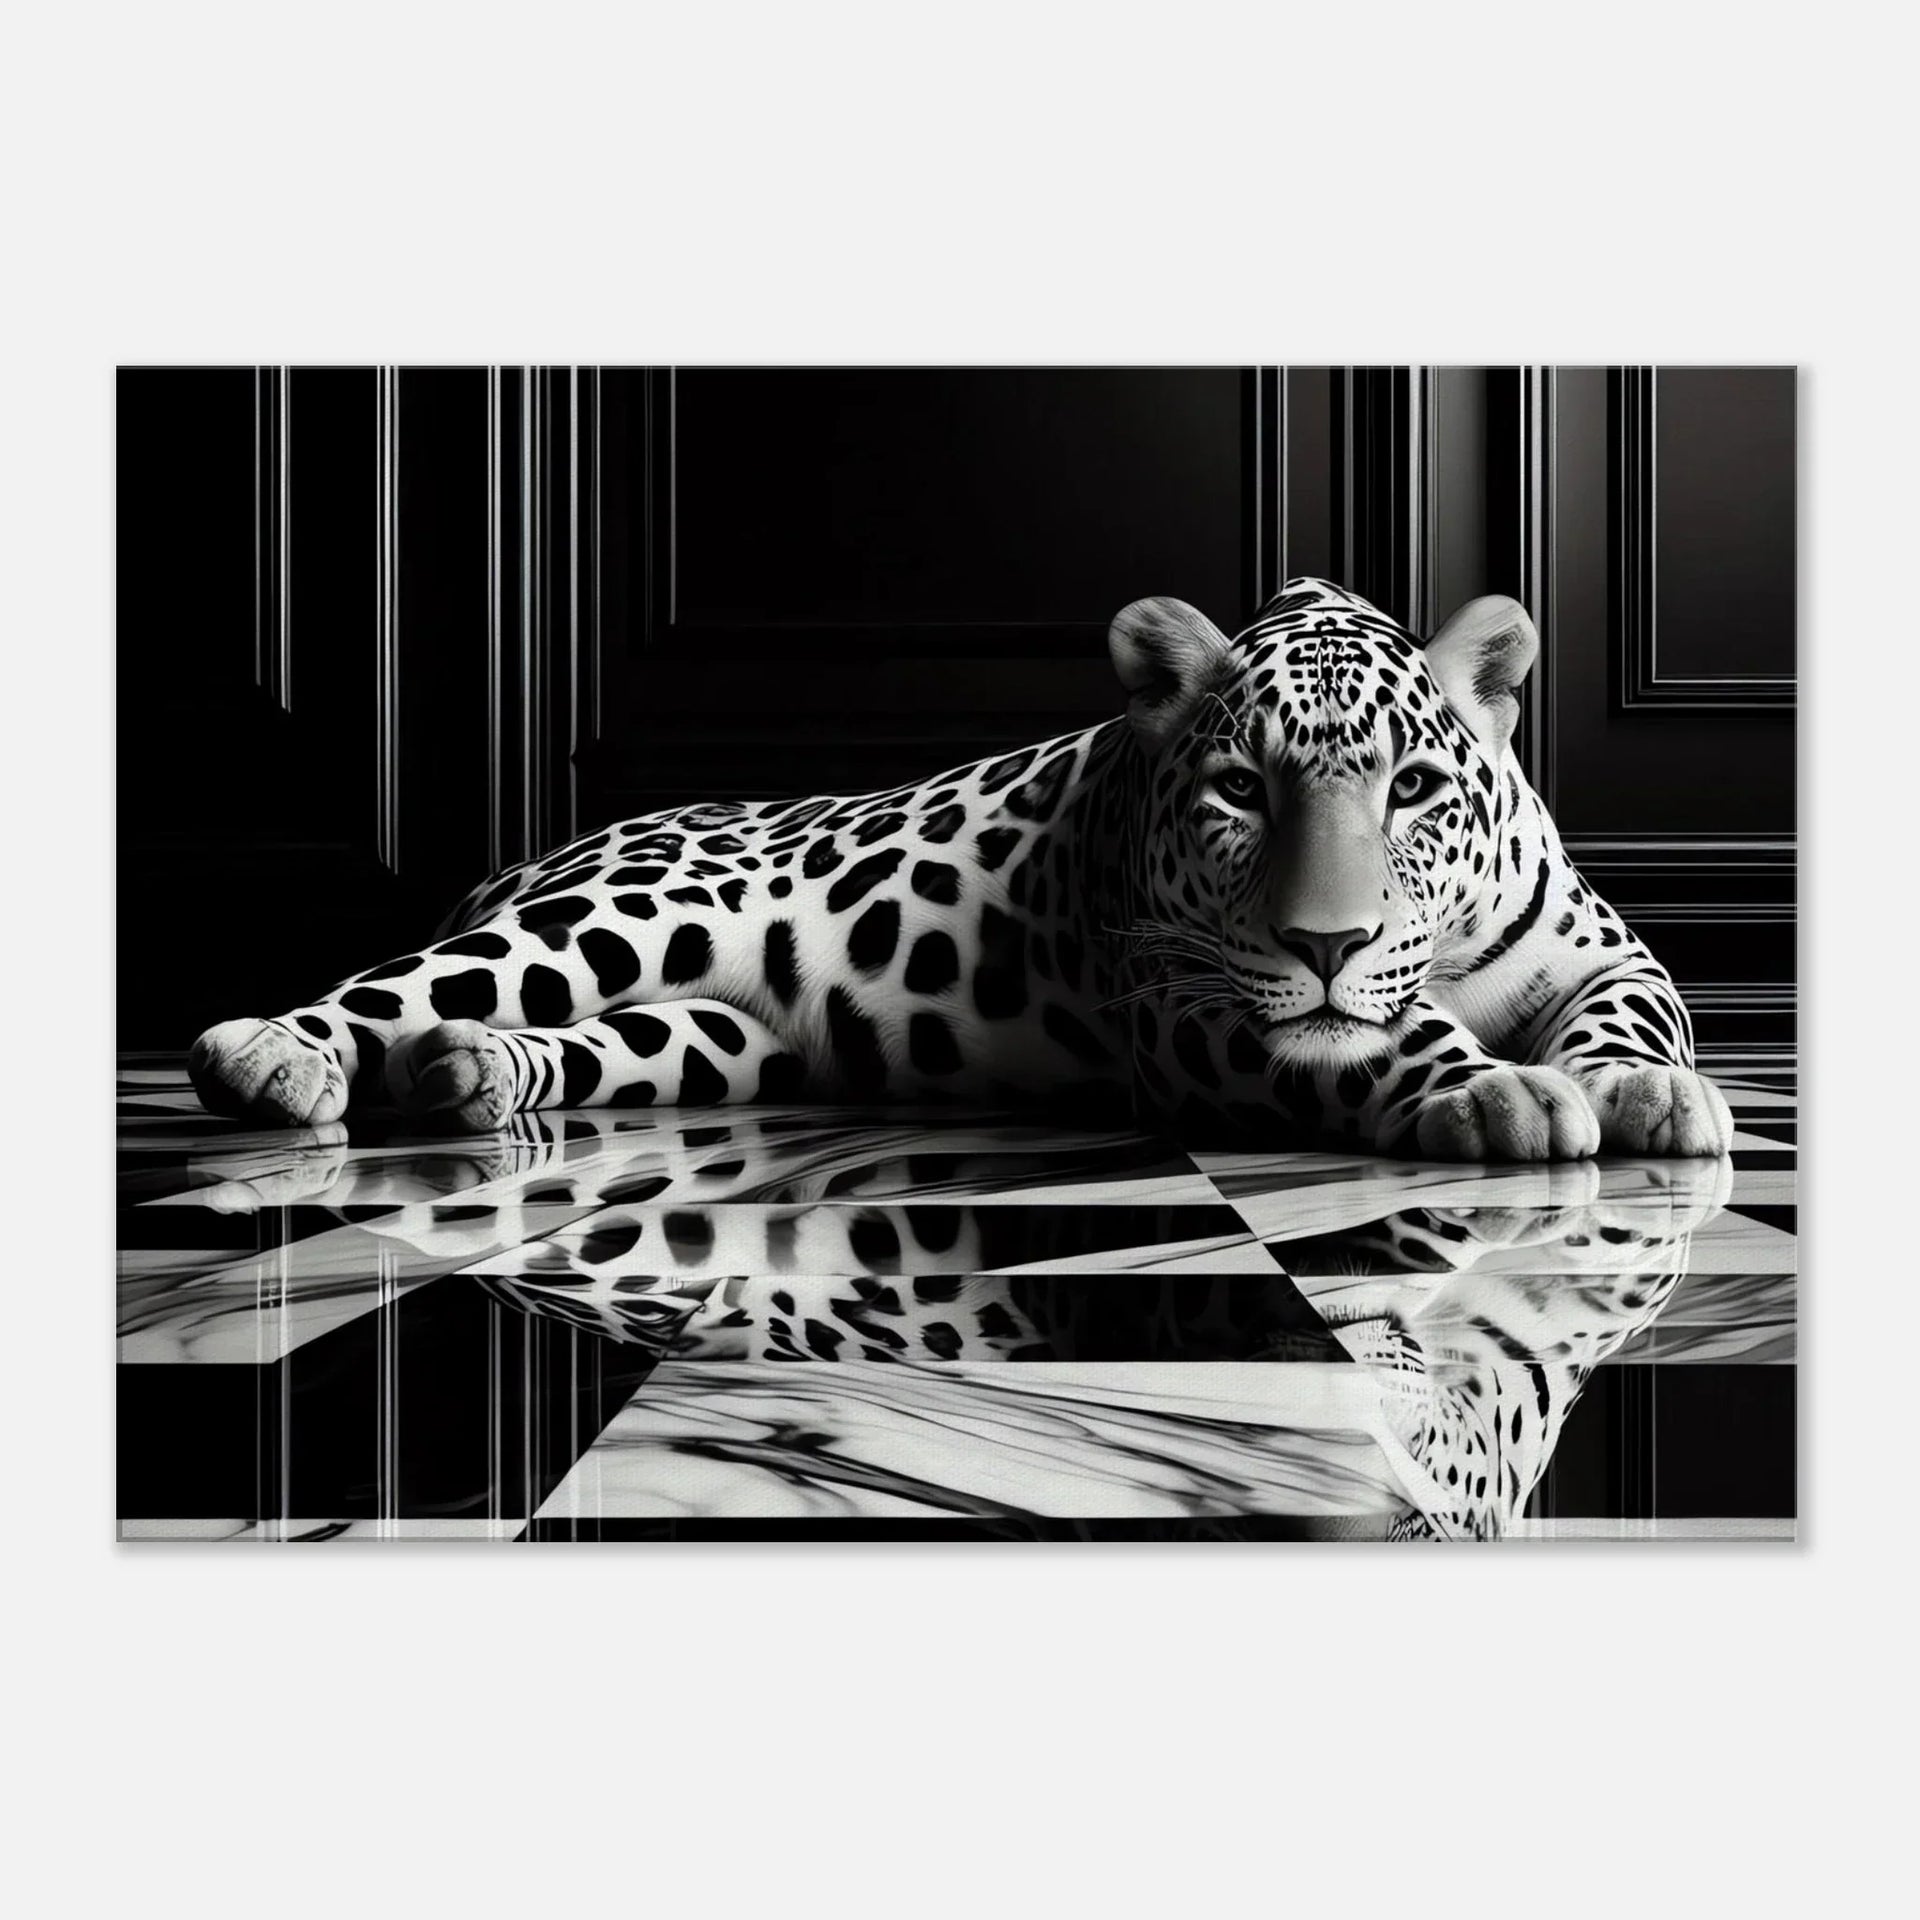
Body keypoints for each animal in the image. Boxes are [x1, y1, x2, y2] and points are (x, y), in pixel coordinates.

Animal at [189, 577, 1730, 1161]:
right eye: (1241, 789)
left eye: (1412, 790)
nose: (1327, 944)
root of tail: (541, 849)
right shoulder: (1201, 1007)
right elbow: (1386, 1036)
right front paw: (1496, 1093)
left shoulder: (1602, 945)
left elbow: (1632, 1011)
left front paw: (1646, 1090)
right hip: (629, 915)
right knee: (413, 980)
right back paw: (274, 1056)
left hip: (717, 1038)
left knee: (570, 1038)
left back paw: (472, 1074)